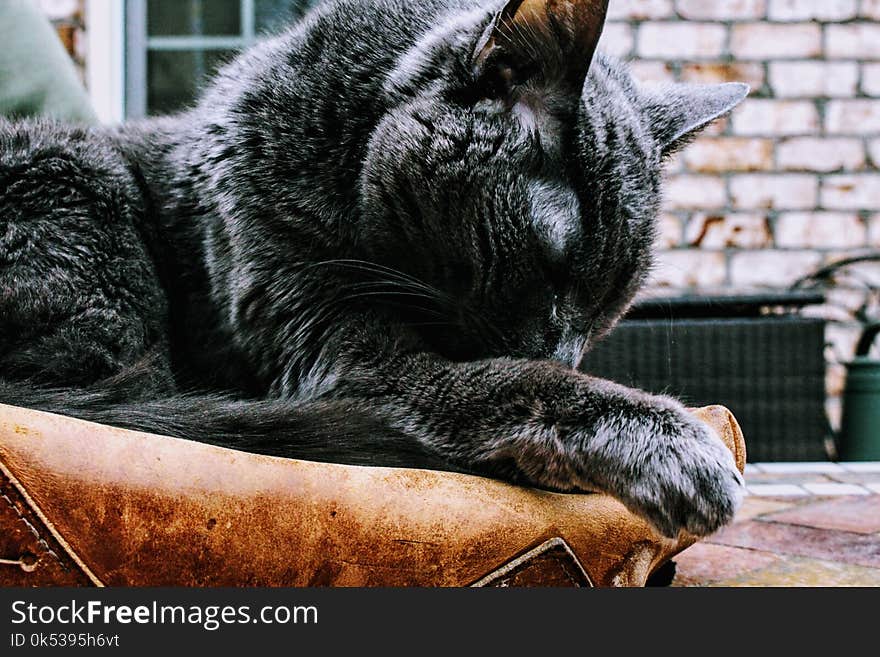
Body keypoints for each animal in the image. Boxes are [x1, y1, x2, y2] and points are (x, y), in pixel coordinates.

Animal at [0, 1, 748, 540]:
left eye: (606, 313)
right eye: (553, 261)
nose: (562, 352)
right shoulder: (337, 352)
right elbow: (508, 381)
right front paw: (675, 447)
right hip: (82, 189)